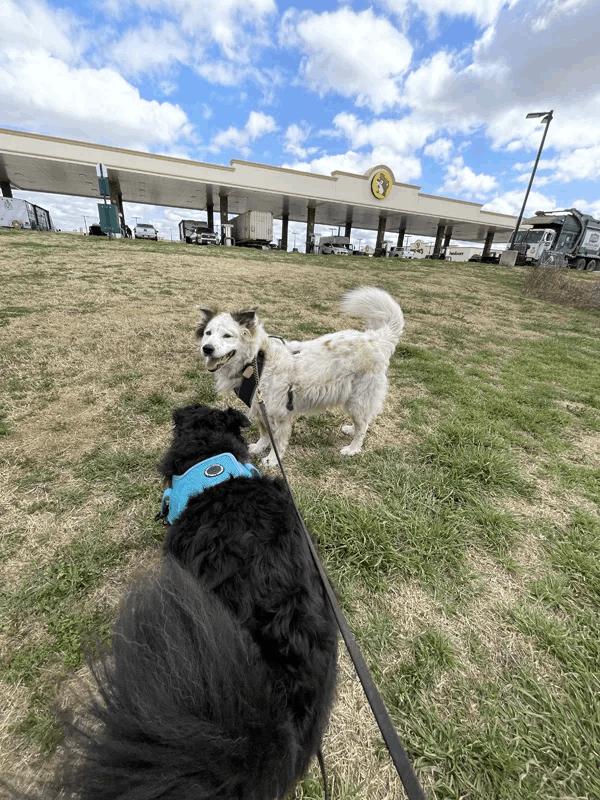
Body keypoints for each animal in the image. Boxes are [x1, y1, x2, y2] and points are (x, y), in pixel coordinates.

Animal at [197, 286, 404, 466]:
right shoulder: (260, 407)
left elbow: (277, 441)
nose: (207, 349)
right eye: (208, 333)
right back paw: (350, 429)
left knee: (363, 426)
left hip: (359, 397)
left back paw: (353, 448)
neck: (256, 361)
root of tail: (374, 338)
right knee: (362, 422)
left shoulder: (280, 413)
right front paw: (258, 447)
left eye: (227, 336)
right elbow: (264, 433)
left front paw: (272, 460)